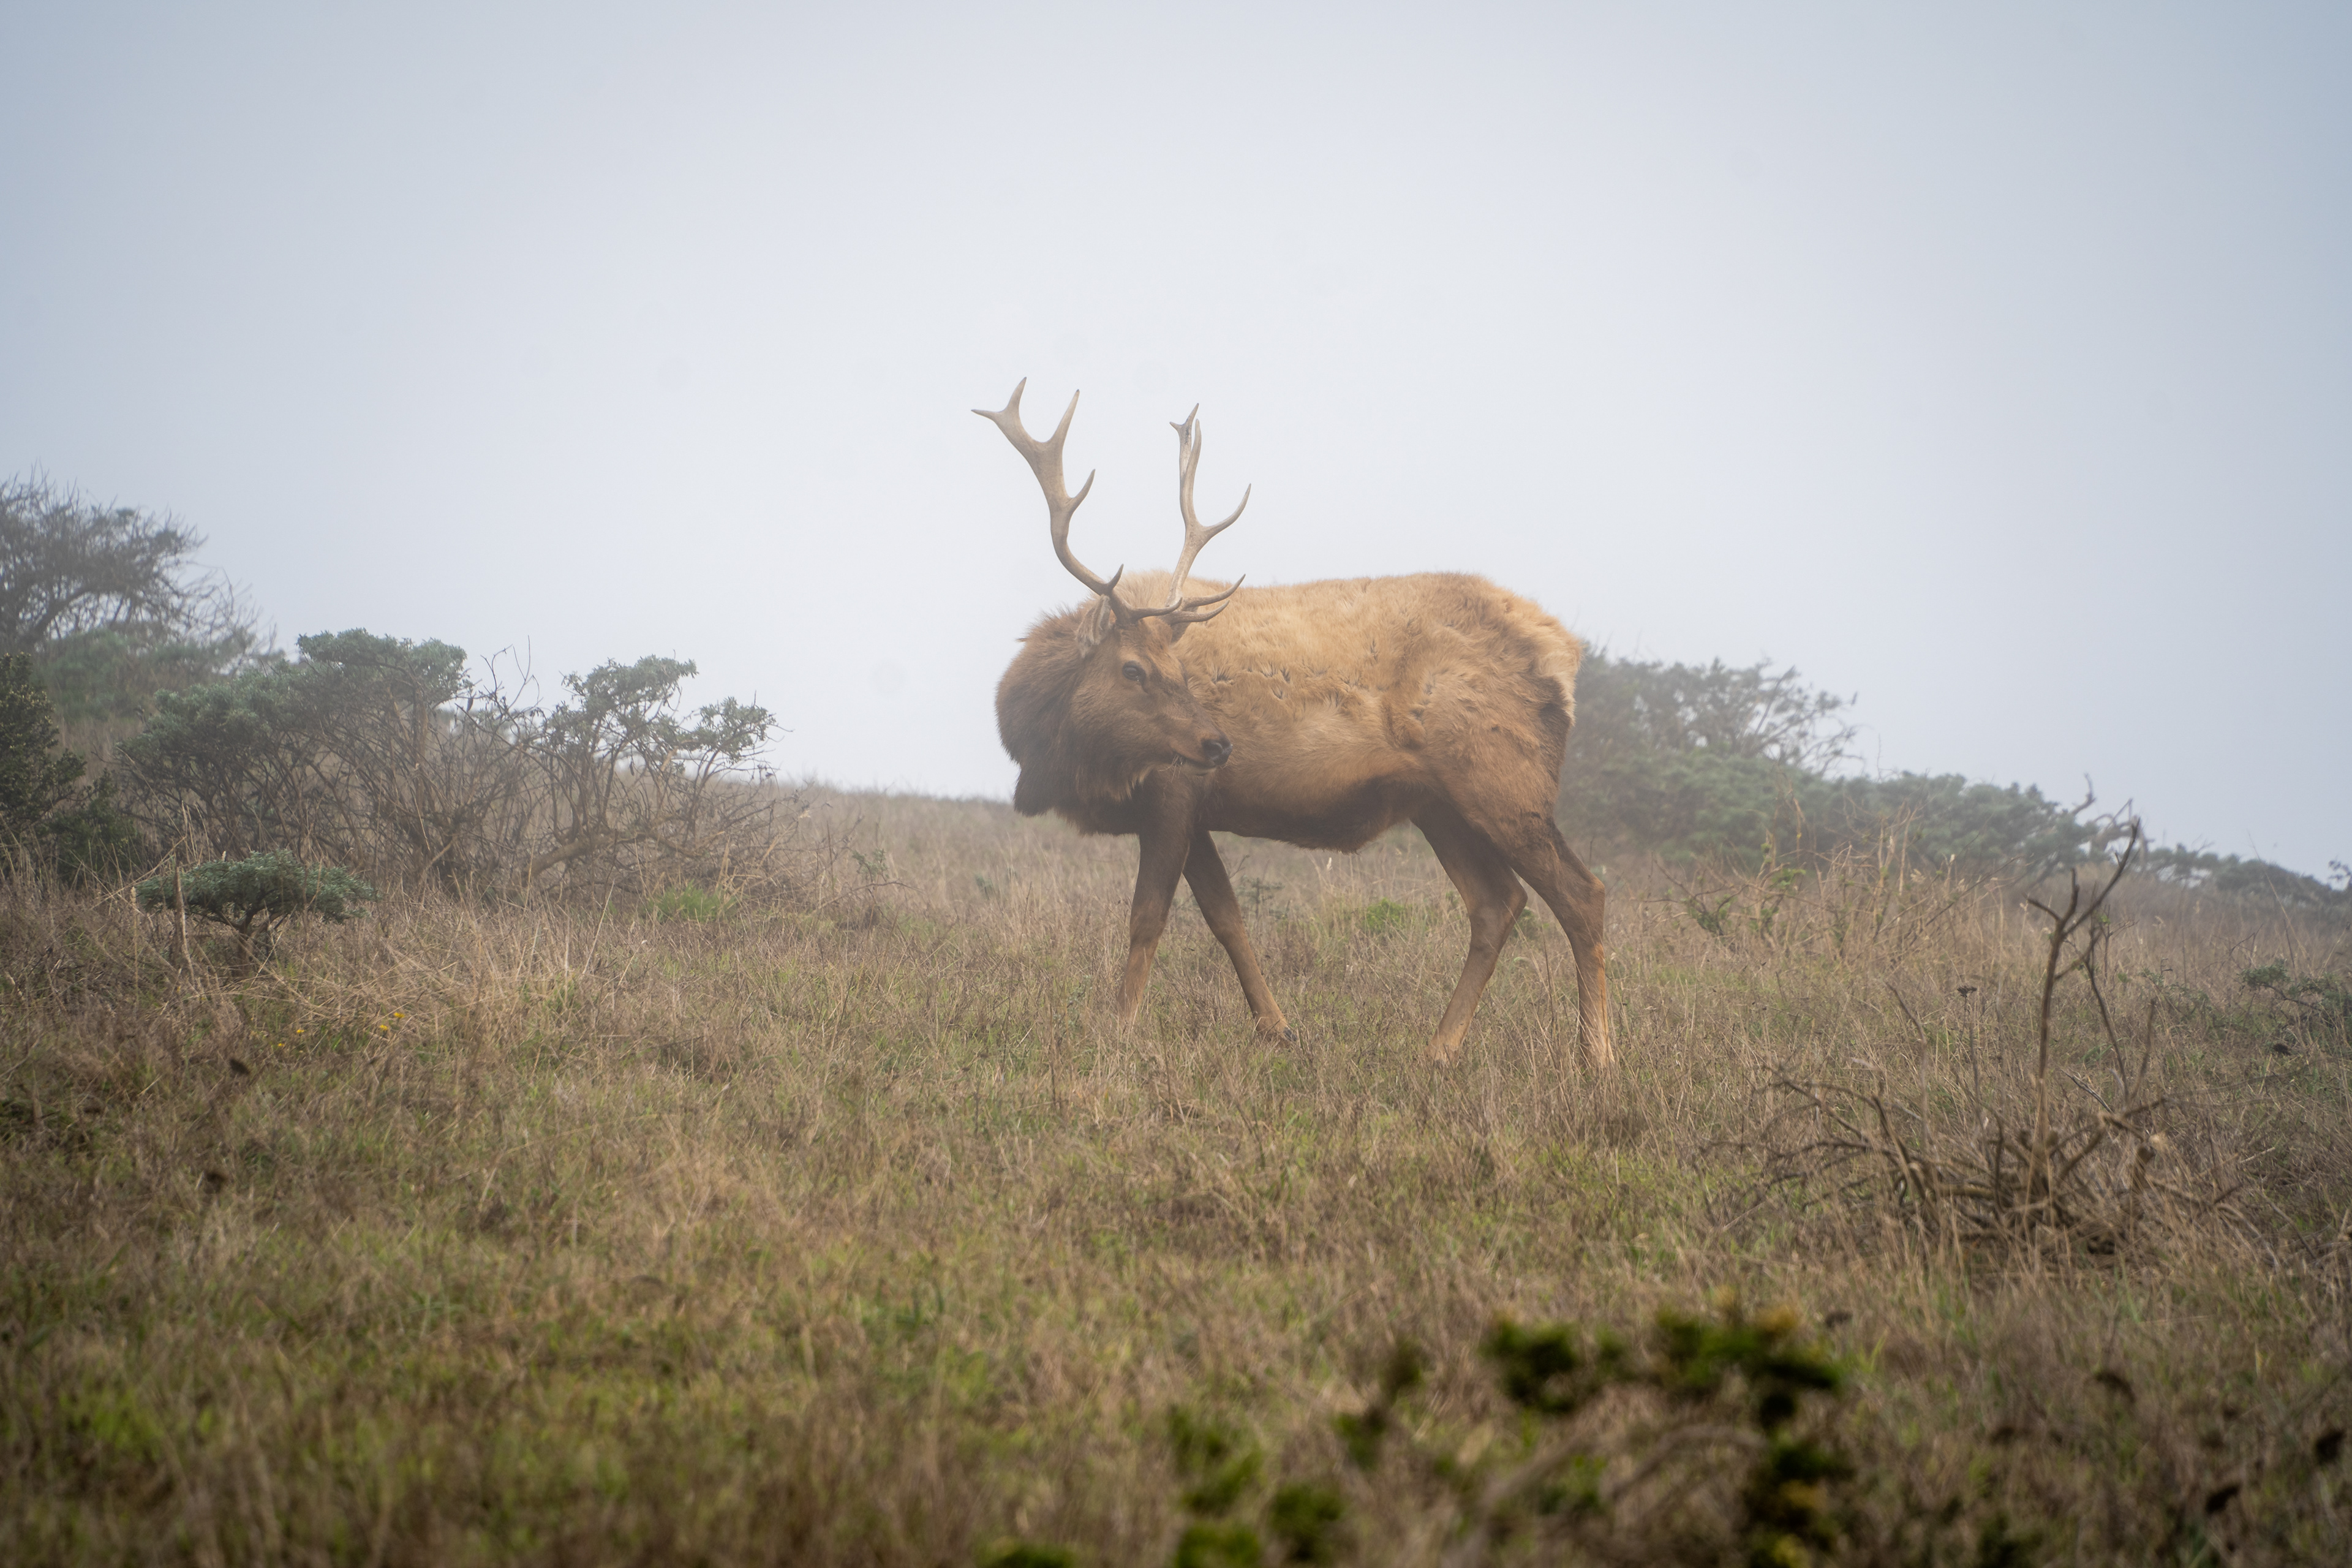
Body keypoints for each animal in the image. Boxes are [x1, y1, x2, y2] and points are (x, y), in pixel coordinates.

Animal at [979, 380, 1611, 1069]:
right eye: (1134, 669)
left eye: (1170, 667)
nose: (1218, 743)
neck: (1059, 757)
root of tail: (1564, 654)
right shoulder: (1195, 808)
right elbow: (1228, 919)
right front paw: (1278, 1029)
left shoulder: (1172, 791)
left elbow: (1148, 918)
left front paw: (1118, 1033)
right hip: (1440, 804)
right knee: (1498, 903)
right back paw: (1439, 1049)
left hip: (1506, 784)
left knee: (1583, 895)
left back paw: (1597, 1056)